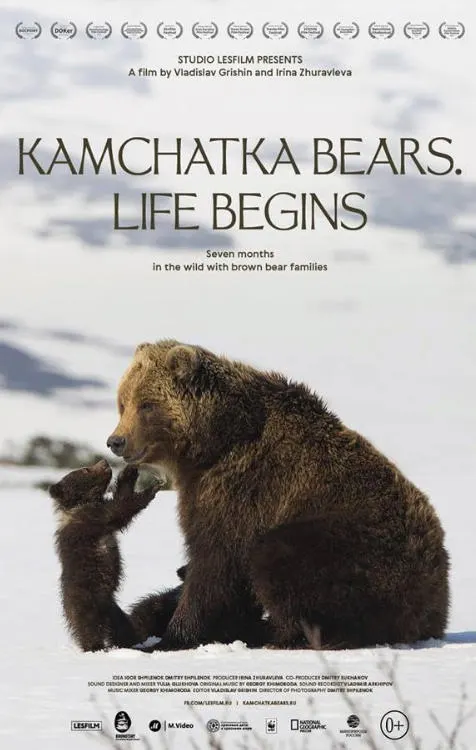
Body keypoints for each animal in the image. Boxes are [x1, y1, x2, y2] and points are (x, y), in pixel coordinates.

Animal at [50, 460, 160, 651]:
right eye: (85, 469)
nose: (104, 462)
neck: (82, 503)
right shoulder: (90, 520)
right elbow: (120, 509)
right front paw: (151, 488)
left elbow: (121, 498)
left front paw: (129, 472)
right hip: (86, 599)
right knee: (90, 627)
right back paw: (95, 646)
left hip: (112, 608)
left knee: (122, 626)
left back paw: (133, 641)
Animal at [107, 340, 450, 650]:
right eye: (122, 402)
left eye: (147, 404)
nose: (116, 441)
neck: (212, 442)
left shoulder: (241, 488)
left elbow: (215, 563)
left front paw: (172, 637)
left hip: (358, 549)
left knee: (279, 558)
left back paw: (282, 635)